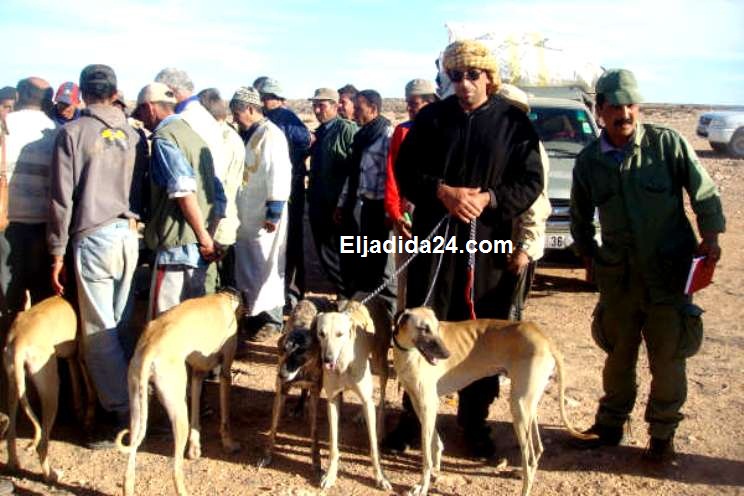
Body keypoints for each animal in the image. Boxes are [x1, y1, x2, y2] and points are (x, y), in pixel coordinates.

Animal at [2, 294, 96, 480]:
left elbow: (76, 385)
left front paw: (80, 412)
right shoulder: (81, 355)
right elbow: (89, 387)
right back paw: (51, 474)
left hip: (14, 386)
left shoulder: (71, 357)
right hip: (51, 388)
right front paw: (88, 416)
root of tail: (18, 342)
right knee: (42, 445)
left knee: (11, 436)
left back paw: (13, 464)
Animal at [116, 288, 243, 496]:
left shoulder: (197, 375)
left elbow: (196, 416)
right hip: (178, 411)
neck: (222, 298)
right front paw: (229, 444)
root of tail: (150, 348)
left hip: (137, 410)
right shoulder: (225, 373)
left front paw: (195, 448)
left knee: (129, 470)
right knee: (175, 471)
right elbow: (225, 418)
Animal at [258, 298, 322, 472]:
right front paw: (267, 456)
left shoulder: (315, 392)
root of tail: (307, 300)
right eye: (284, 350)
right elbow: (273, 427)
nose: (281, 375)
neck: (302, 371)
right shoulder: (281, 392)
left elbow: (315, 431)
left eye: (301, 352)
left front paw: (317, 462)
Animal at [314, 300, 392, 490]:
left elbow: (373, 448)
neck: (344, 362)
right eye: (321, 334)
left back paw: (380, 428)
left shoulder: (366, 399)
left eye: (339, 334)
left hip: (380, 363)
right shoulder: (332, 400)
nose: (327, 360)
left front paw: (380, 477)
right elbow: (333, 445)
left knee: (381, 399)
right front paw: (330, 475)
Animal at [392, 306, 596, 496]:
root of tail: (544, 338)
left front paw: (423, 485)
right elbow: (434, 442)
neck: (408, 352)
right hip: (529, 405)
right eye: (423, 329)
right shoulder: (421, 403)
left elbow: (426, 455)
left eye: (437, 327)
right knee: (537, 449)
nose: (447, 354)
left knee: (529, 458)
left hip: (519, 407)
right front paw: (435, 470)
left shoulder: (428, 403)